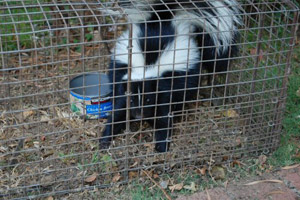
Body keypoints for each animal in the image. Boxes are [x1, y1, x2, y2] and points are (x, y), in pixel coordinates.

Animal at [100, 0, 241, 152]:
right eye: (131, 100)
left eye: (148, 99)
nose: (138, 115)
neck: (146, 67)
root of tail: (164, 17)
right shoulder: (125, 80)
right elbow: (118, 112)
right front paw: (105, 139)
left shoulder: (164, 87)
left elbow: (163, 116)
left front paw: (161, 145)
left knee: (185, 93)